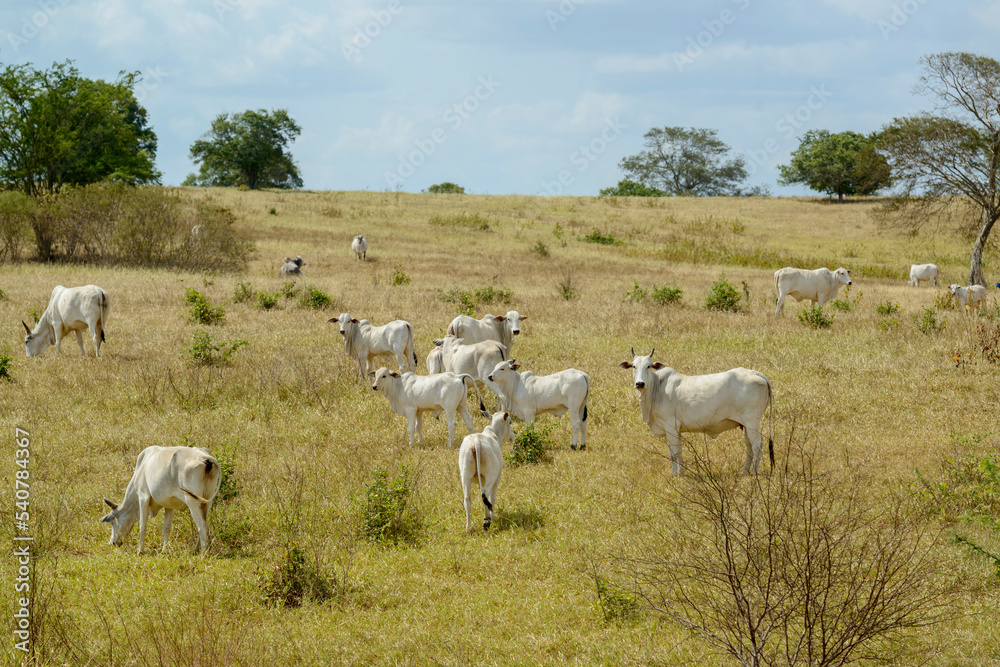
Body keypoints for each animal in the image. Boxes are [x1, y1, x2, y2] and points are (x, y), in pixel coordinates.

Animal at [616, 350, 772, 474]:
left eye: (648, 366)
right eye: (634, 366)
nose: (640, 384)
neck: (657, 388)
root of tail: (754, 373)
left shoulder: (670, 426)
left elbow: (674, 453)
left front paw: (674, 474)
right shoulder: (676, 429)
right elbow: (679, 452)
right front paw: (681, 473)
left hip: (752, 422)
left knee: (757, 445)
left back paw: (754, 472)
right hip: (745, 425)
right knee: (749, 446)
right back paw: (744, 472)